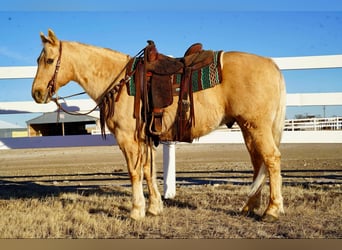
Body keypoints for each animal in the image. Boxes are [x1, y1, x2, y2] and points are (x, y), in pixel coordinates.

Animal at [32, 29, 288, 223]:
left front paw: (137, 211)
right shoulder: (144, 138)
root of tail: (272, 65)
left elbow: (135, 171)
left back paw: (272, 210)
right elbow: (148, 170)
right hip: (249, 129)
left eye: (49, 60)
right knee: (258, 163)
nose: (36, 93)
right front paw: (154, 207)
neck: (119, 81)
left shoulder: (127, 138)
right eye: (38, 60)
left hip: (257, 127)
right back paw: (249, 207)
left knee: (272, 159)